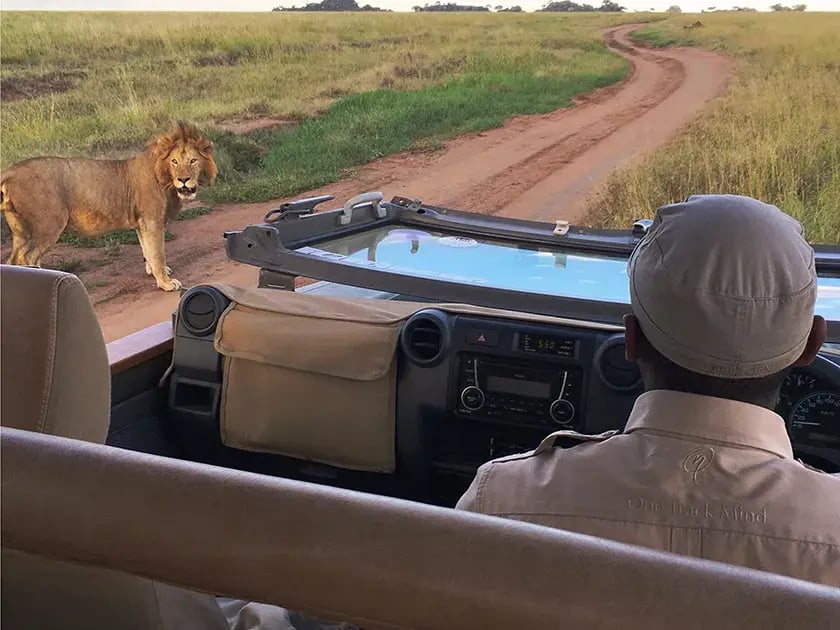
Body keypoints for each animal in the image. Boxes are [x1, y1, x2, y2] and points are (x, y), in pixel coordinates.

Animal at [0, 122, 217, 292]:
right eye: (174, 161)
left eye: (193, 160)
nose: (183, 180)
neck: (165, 178)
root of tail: (10, 171)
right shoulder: (152, 220)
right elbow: (157, 253)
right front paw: (166, 283)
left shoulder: (142, 223)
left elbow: (147, 249)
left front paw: (156, 273)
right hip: (49, 224)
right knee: (28, 257)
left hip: (20, 231)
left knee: (13, 260)